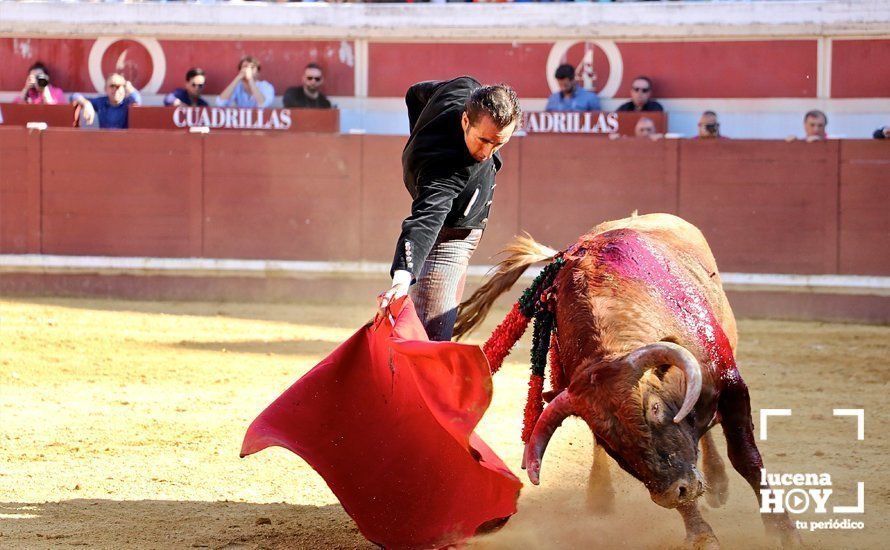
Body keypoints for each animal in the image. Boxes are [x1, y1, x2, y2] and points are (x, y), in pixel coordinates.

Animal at [458, 215, 796, 548]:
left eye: (655, 408)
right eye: (610, 440)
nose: (675, 491)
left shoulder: (731, 386)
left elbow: (746, 458)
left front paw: (783, 531)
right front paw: (701, 535)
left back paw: (718, 483)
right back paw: (602, 497)